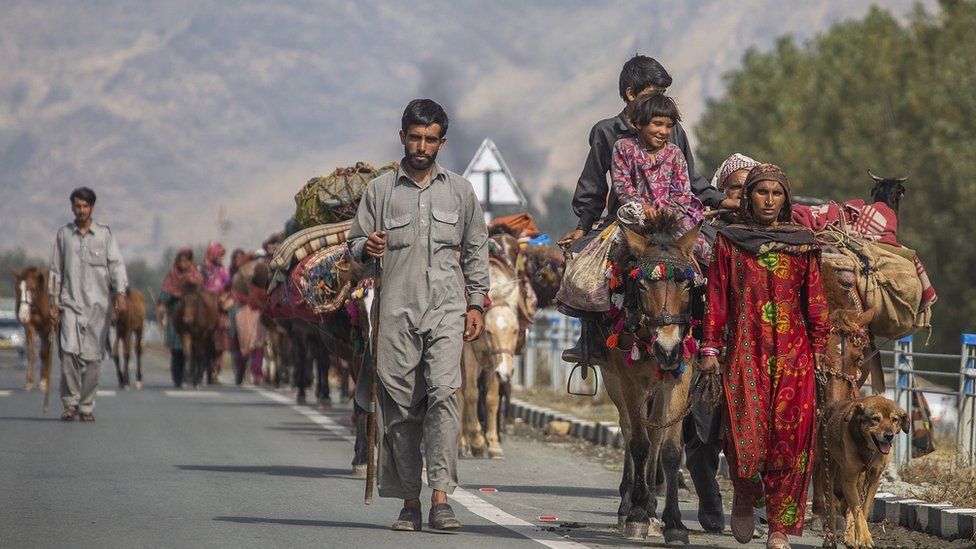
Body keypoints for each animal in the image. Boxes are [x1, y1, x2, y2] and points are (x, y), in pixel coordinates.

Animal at [816, 396, 908, 544]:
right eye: (875, 419)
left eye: (895, 420)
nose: (889, 435)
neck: (868, 450)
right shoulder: (849, 481)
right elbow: (857, 511)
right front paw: (864, 539)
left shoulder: (873, 480)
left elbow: (863, 510)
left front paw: (859, 536)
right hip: (828, 472)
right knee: (831, 511)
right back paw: (830, 540)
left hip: (861, 478)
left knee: (849, 507)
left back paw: (849, 536)